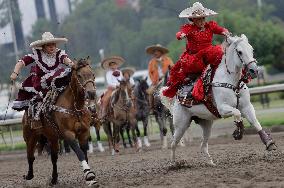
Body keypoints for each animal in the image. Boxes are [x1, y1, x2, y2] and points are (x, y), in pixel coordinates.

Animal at [21, 58, 97, 186]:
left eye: (93, 74)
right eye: (79, 75)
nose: (91, 93)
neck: (75, 107)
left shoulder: (84, 133)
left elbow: (84, 153)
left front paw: (89, 177)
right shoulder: (68, 134)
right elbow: (79, 153)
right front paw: (89, 174)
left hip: (52, 138)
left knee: (54, 157)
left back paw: (54, 179)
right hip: (30, 137)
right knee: (30, 157)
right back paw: (29, 175)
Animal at [162, 34, 276, 164]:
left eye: (252, 49)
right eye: (240, 52)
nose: (254, 70)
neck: (232, 83)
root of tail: (176, 98)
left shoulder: (247, 106)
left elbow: (255, 123)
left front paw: (269, 143)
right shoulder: (223, 109)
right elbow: (237, 113)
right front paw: (238, 132)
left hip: (206, 124)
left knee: (203, 146)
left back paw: (211, 163)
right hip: (181, 124)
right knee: (173, 143)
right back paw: (173, 164)